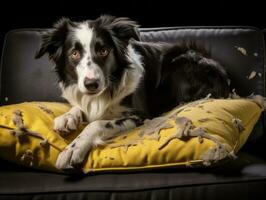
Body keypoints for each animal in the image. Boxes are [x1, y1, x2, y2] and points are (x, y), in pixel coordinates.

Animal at [35, 14, 230, 170]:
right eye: (74, 54)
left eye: (103, 50)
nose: (92, 84)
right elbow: (80, 108)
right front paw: (68, 117)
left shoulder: (139, 115)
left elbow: (96, 124)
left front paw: (73, 149)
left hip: (180, 64)